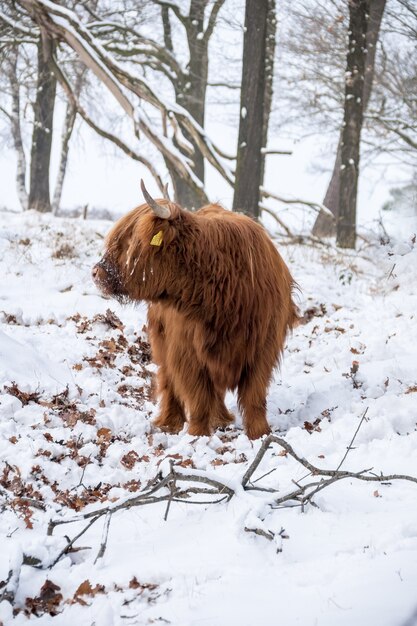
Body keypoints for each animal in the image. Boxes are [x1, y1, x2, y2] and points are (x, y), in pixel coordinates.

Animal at [92, 180, 298, 438]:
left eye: (131, 241)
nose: (96, 272)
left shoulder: (263, 348)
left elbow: (254, 396)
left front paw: (260, 433)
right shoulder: (185, 349)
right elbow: (198, 395)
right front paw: (197, 435)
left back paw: (221, 418)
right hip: (162, 338)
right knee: (169, 379)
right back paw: (170, 422)